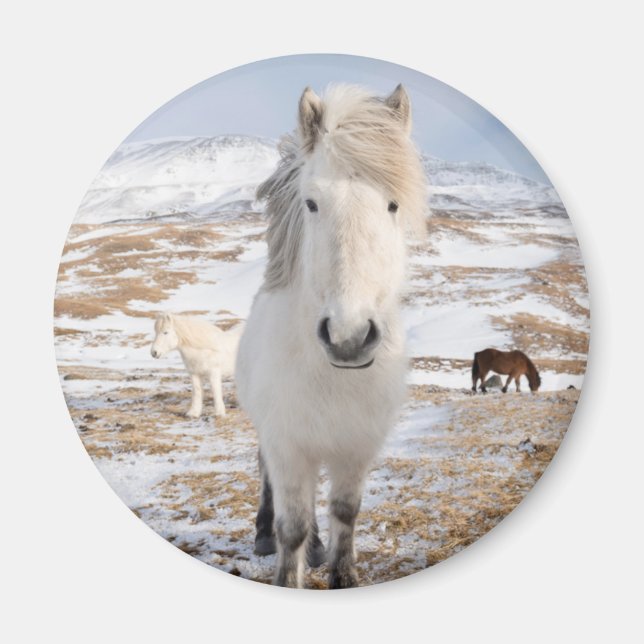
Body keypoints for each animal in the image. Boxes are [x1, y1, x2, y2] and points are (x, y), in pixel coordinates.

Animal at [235, 84, 428, 588]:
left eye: (392, 204)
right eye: (312, 203)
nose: (349, 336)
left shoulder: (356, 448)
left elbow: (345, 512)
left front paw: (343, 574)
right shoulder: (287, 446)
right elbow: (292, 527)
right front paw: (288, 572)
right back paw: (263, 535)